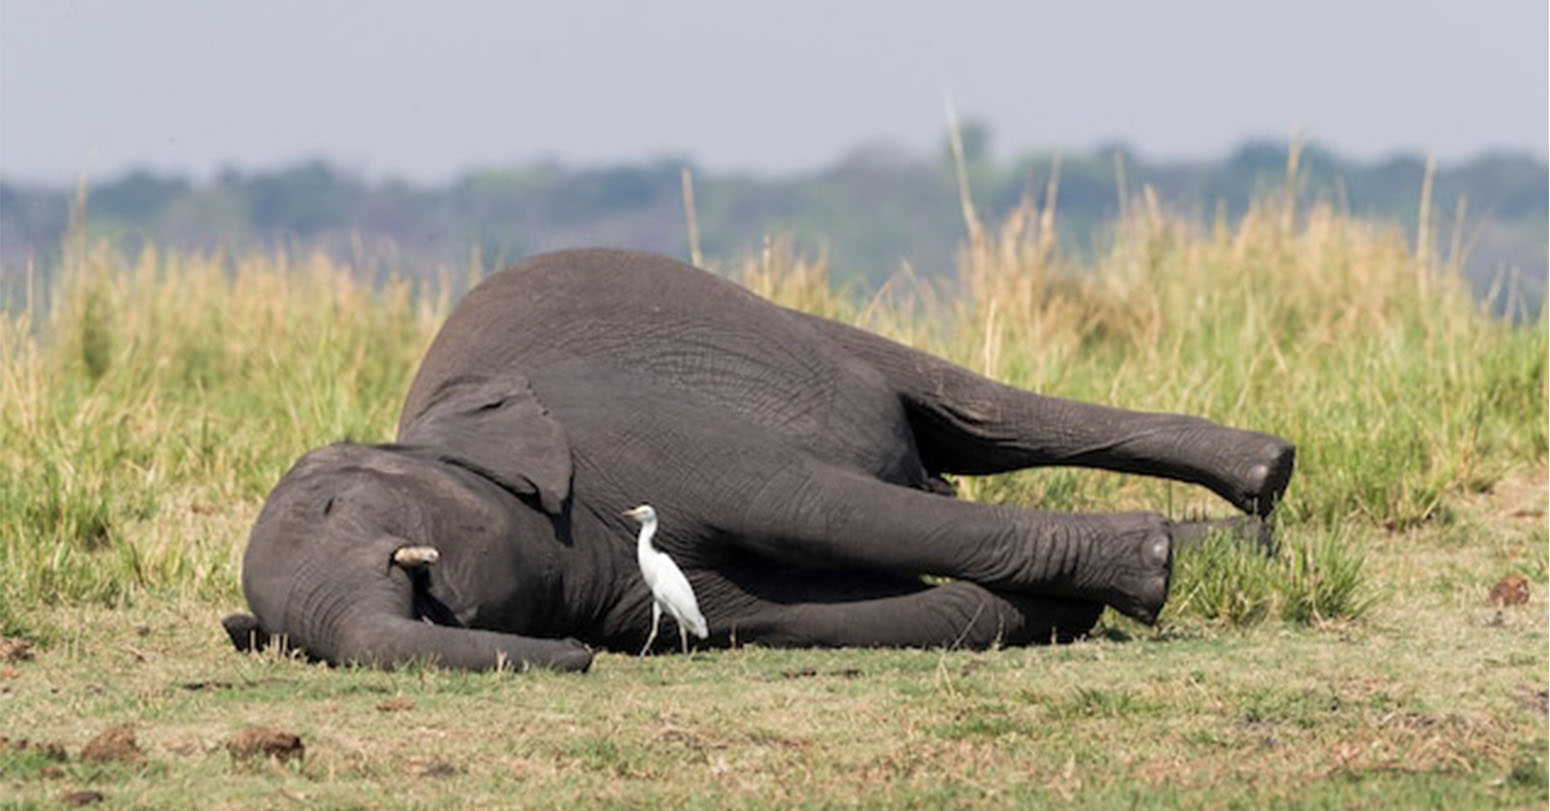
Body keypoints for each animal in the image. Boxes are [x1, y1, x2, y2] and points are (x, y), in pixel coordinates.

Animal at [221, 248, 1295, 672]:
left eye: (337, 507)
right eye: (289, 642)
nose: (575, 655)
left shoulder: (630, 433)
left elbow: (815, 506)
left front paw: (1145, 568)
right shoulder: (641, 587)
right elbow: (829, 615)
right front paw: (1064, 607)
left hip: (799, 326)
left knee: (970, 410)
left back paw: (1266, 478)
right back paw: (1254, 539)